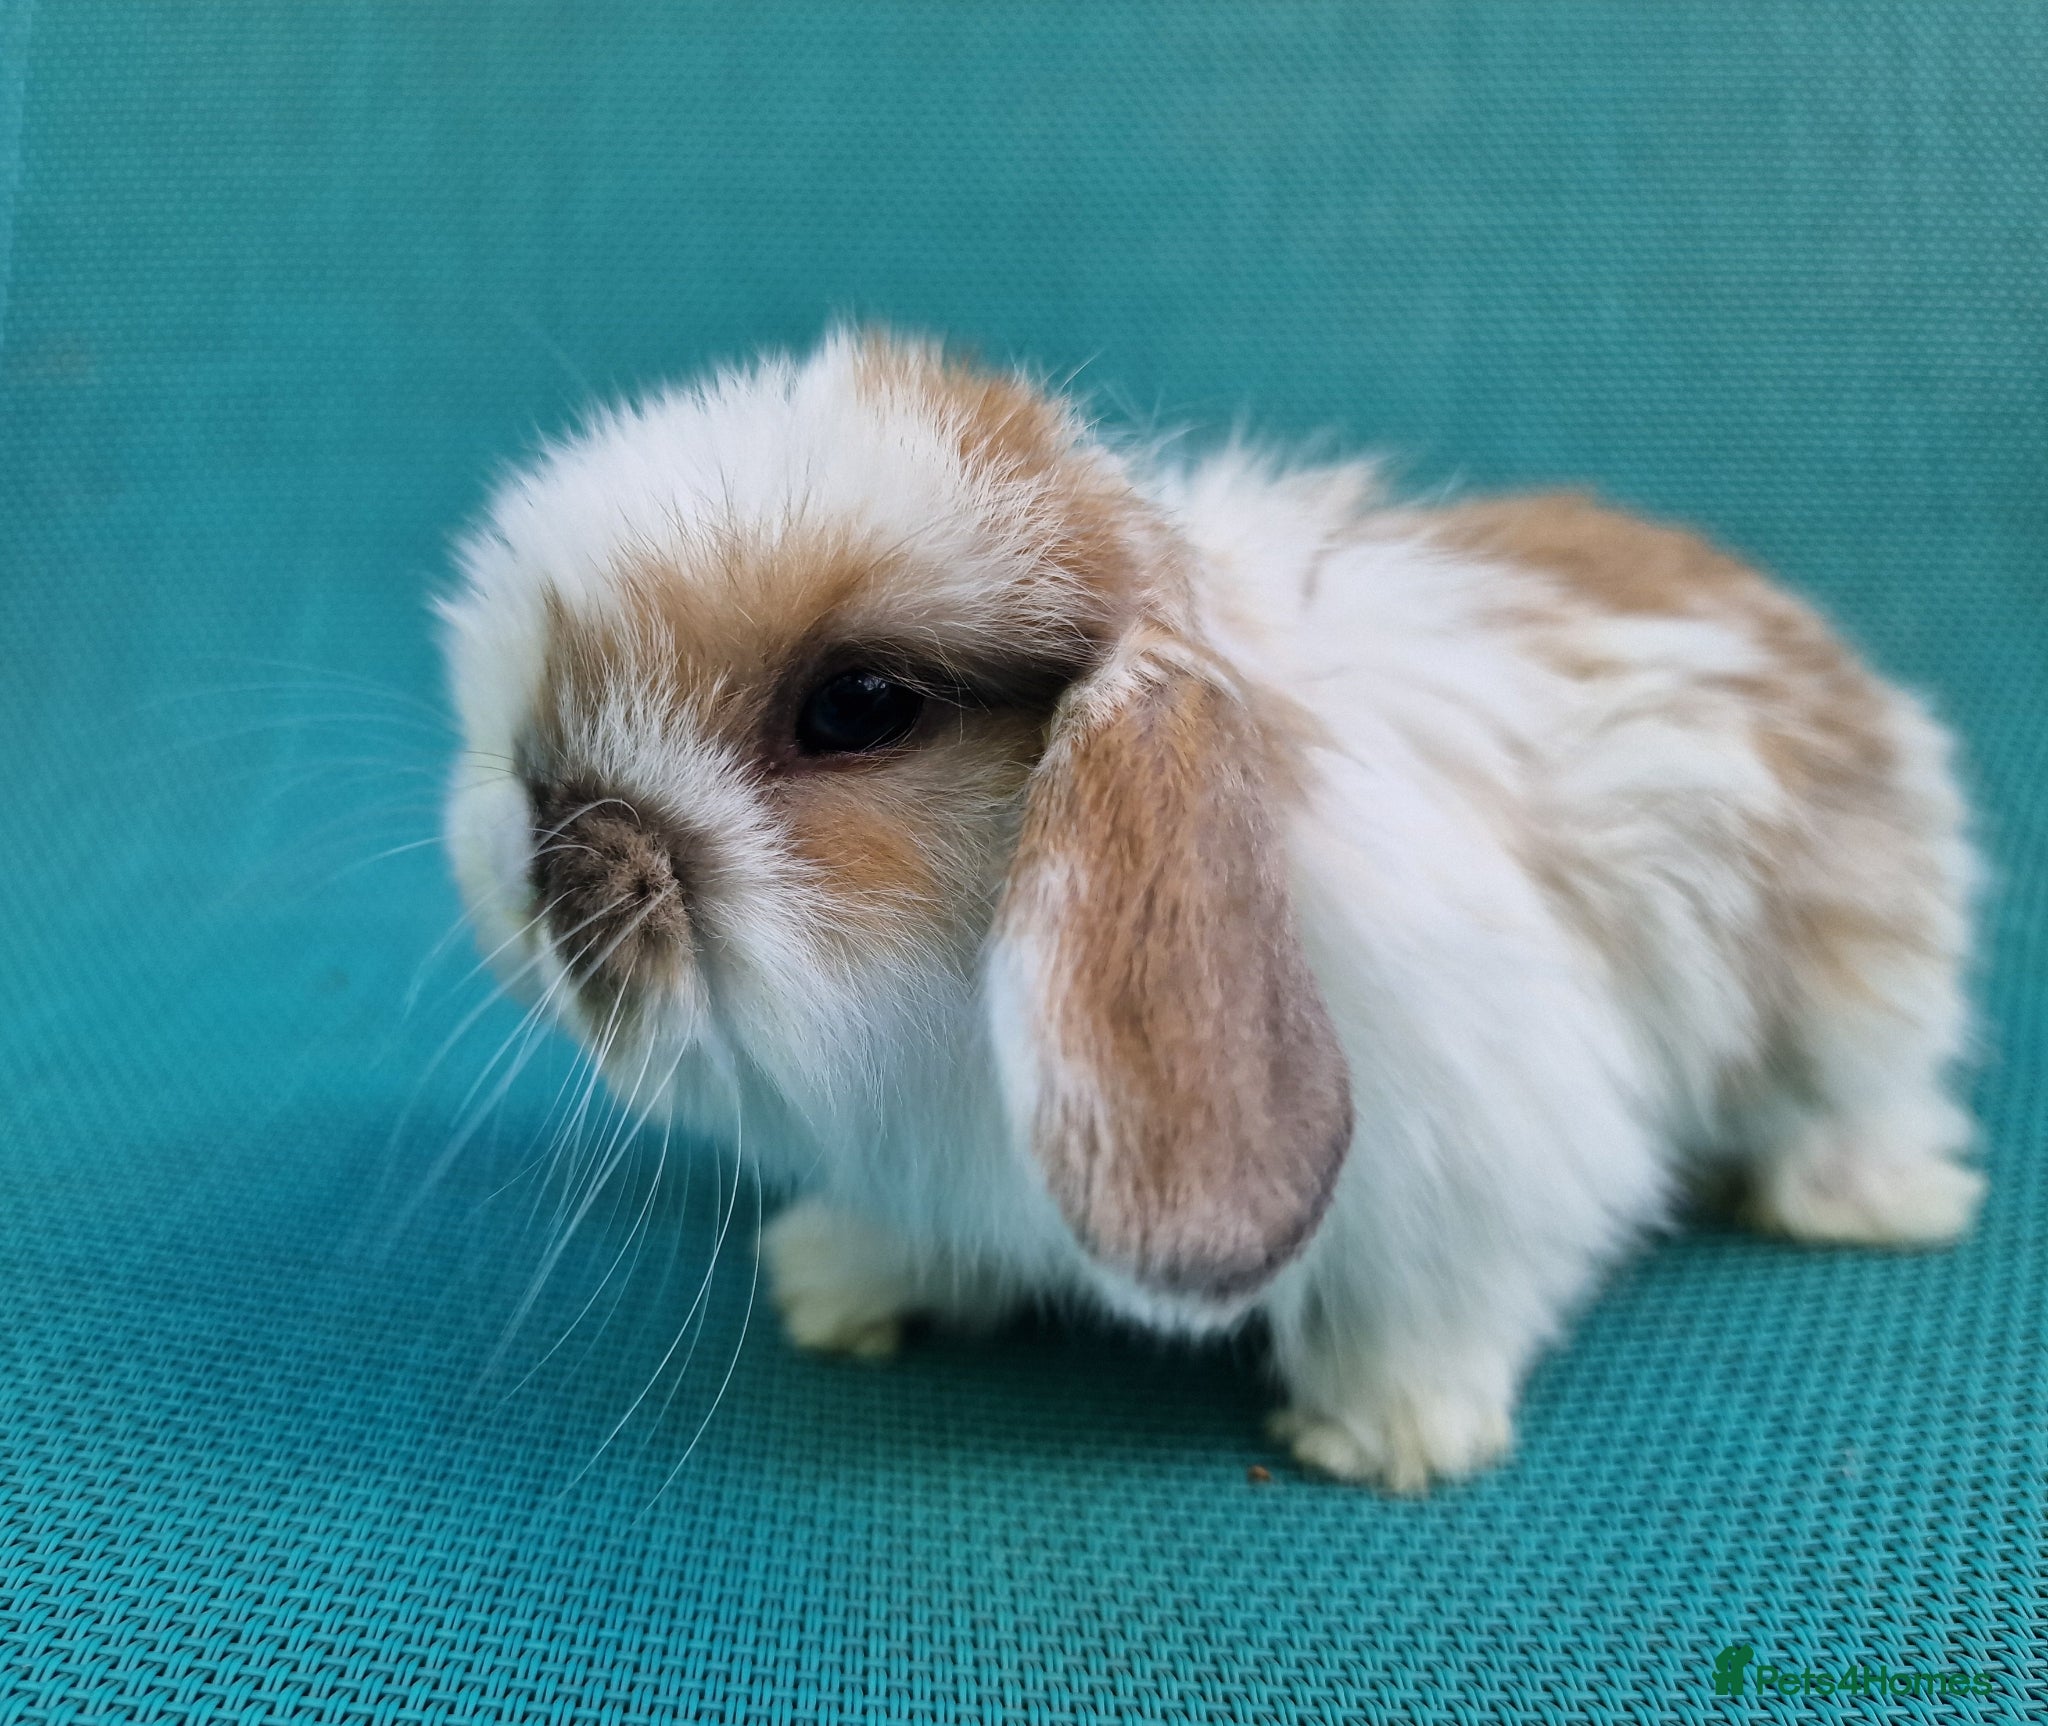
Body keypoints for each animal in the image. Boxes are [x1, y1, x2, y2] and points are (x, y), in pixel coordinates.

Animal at [439, 328, 1983, 1491]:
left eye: (856, 707)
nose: (534, 829)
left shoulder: (1488, 1152)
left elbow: (1440, 1297)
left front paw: (1385, 1436)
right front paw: (836, 1289)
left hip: (1851, 1004)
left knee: (1857, 1102)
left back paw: (1873, 1201)